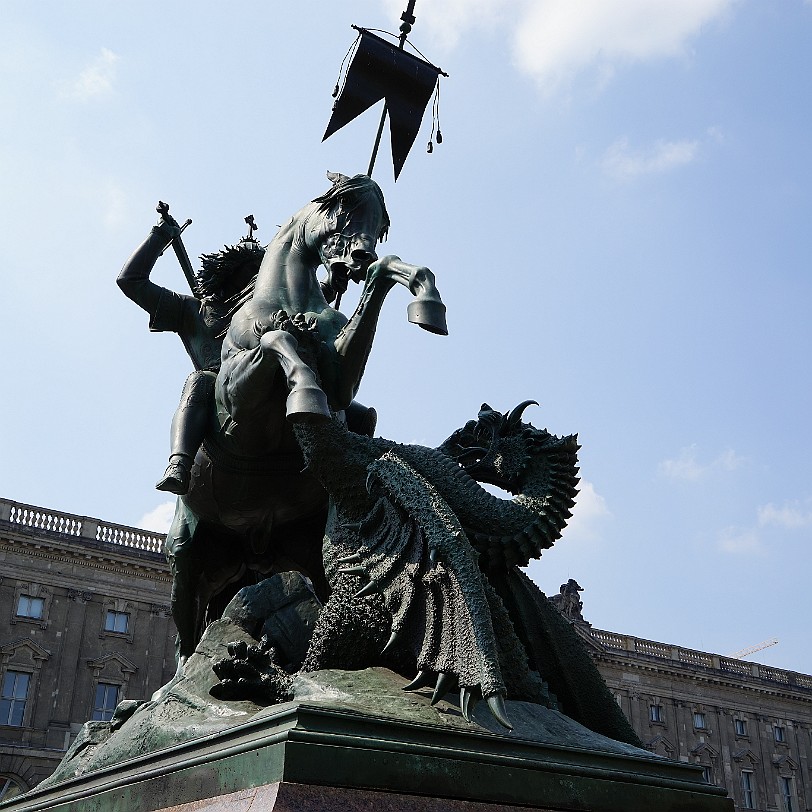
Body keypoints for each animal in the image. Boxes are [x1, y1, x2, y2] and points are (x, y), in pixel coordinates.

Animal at [164, 174, 444, 664]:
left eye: (380, 223)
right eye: (342, 207)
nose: (359, 256)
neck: (289, 295)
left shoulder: (342, 377)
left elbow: (383, 279)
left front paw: (426, 300)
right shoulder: (236, 397)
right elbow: (277, 338)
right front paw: (303, 391)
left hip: (295, 553)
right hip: (188, 558)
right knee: (185, 629)